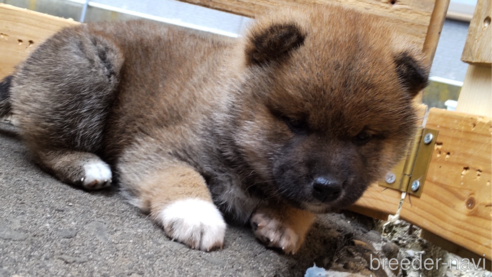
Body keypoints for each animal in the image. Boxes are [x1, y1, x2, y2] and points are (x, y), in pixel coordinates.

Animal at [0, 3, 426, 252]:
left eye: (363, 137)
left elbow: (299, 205)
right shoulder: (158, 149)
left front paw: (284, 221)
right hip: (89, 66)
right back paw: (87, 165)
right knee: (43, 144)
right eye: (294, 122)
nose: (327, 187)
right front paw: (198, 214)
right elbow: (184, 177)